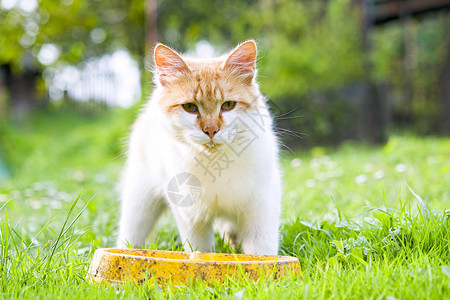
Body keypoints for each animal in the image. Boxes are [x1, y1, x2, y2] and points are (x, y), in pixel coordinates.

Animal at [118, 40, 282, 255]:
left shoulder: (261, 207)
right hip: (139, 204)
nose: (211, 130)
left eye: (228, 105)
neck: (215, 163)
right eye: (190, 107)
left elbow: (261, 251)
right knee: (129, 235)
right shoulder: (191, 218)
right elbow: (199, 249)